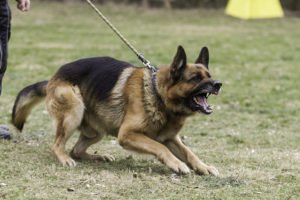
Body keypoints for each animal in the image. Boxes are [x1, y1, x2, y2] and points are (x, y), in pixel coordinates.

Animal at [11, 46, 221, 176]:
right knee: (57, 145)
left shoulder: (170, 137)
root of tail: (52, 78)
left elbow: (189, 152)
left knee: (76, 150)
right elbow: (160, 148)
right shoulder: (127, 135)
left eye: (209, 75)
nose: (218, 84)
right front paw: (177, 164)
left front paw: (203, 167)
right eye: (195, 78)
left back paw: (98, 157)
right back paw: (64, 159)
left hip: (97, 130)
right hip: (75, 110)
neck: (157, 94)